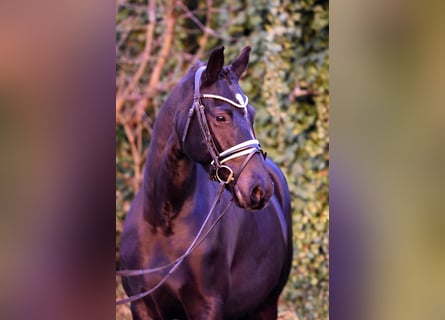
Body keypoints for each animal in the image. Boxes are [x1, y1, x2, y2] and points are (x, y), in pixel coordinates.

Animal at [119, 47, 292, 320]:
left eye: (252, 115)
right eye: (220, 117)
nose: (259, 189)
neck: (162, 223)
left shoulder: (207, 306)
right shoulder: (142, 306)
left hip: (266, 306)